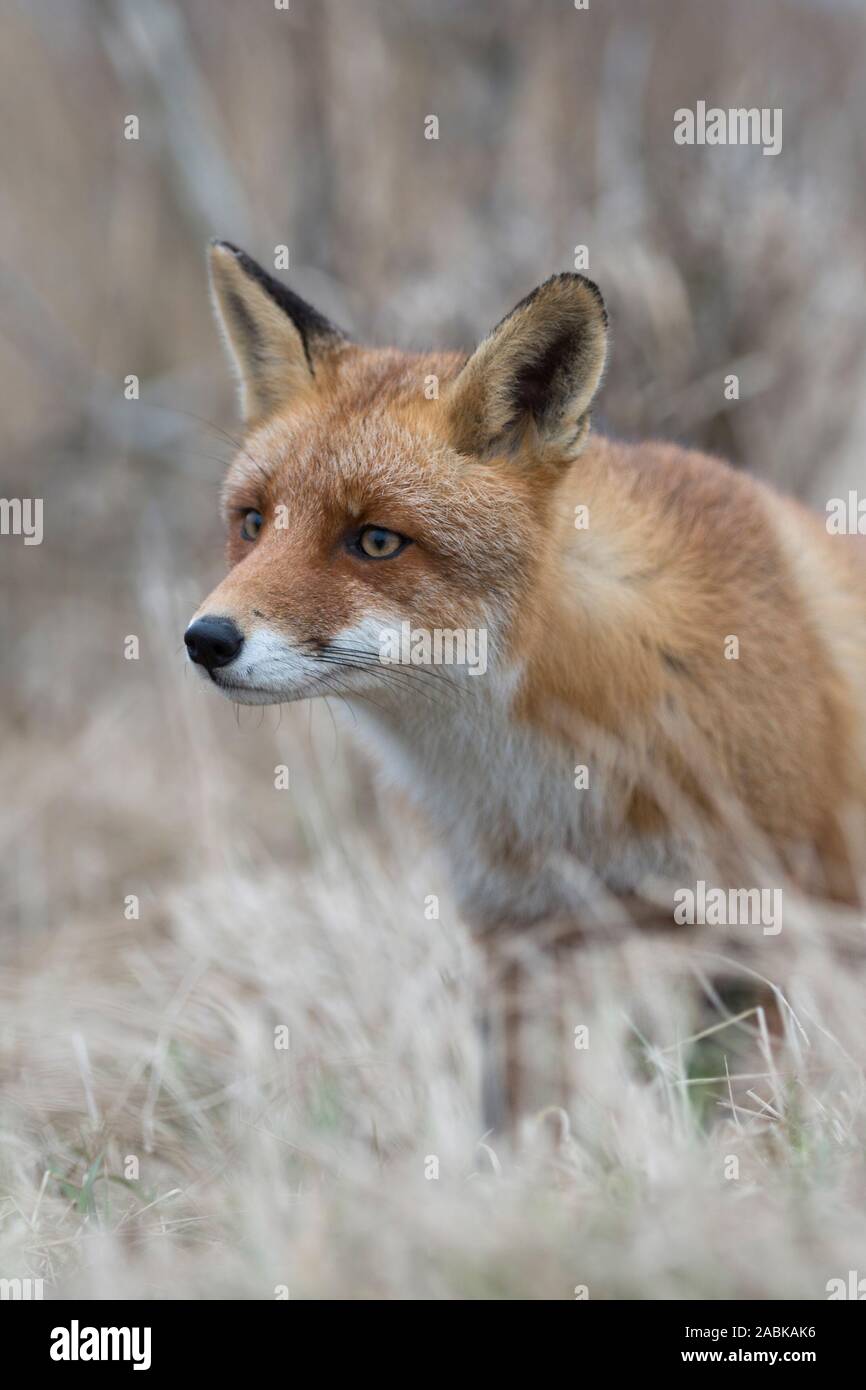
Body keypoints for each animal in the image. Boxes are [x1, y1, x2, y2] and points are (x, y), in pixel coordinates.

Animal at [189, 244, 866, 1117]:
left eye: (375, 540)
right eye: (252, 523)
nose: (205, 639)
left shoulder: (780, 924)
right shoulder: (517, 937)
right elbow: (521, 1117)